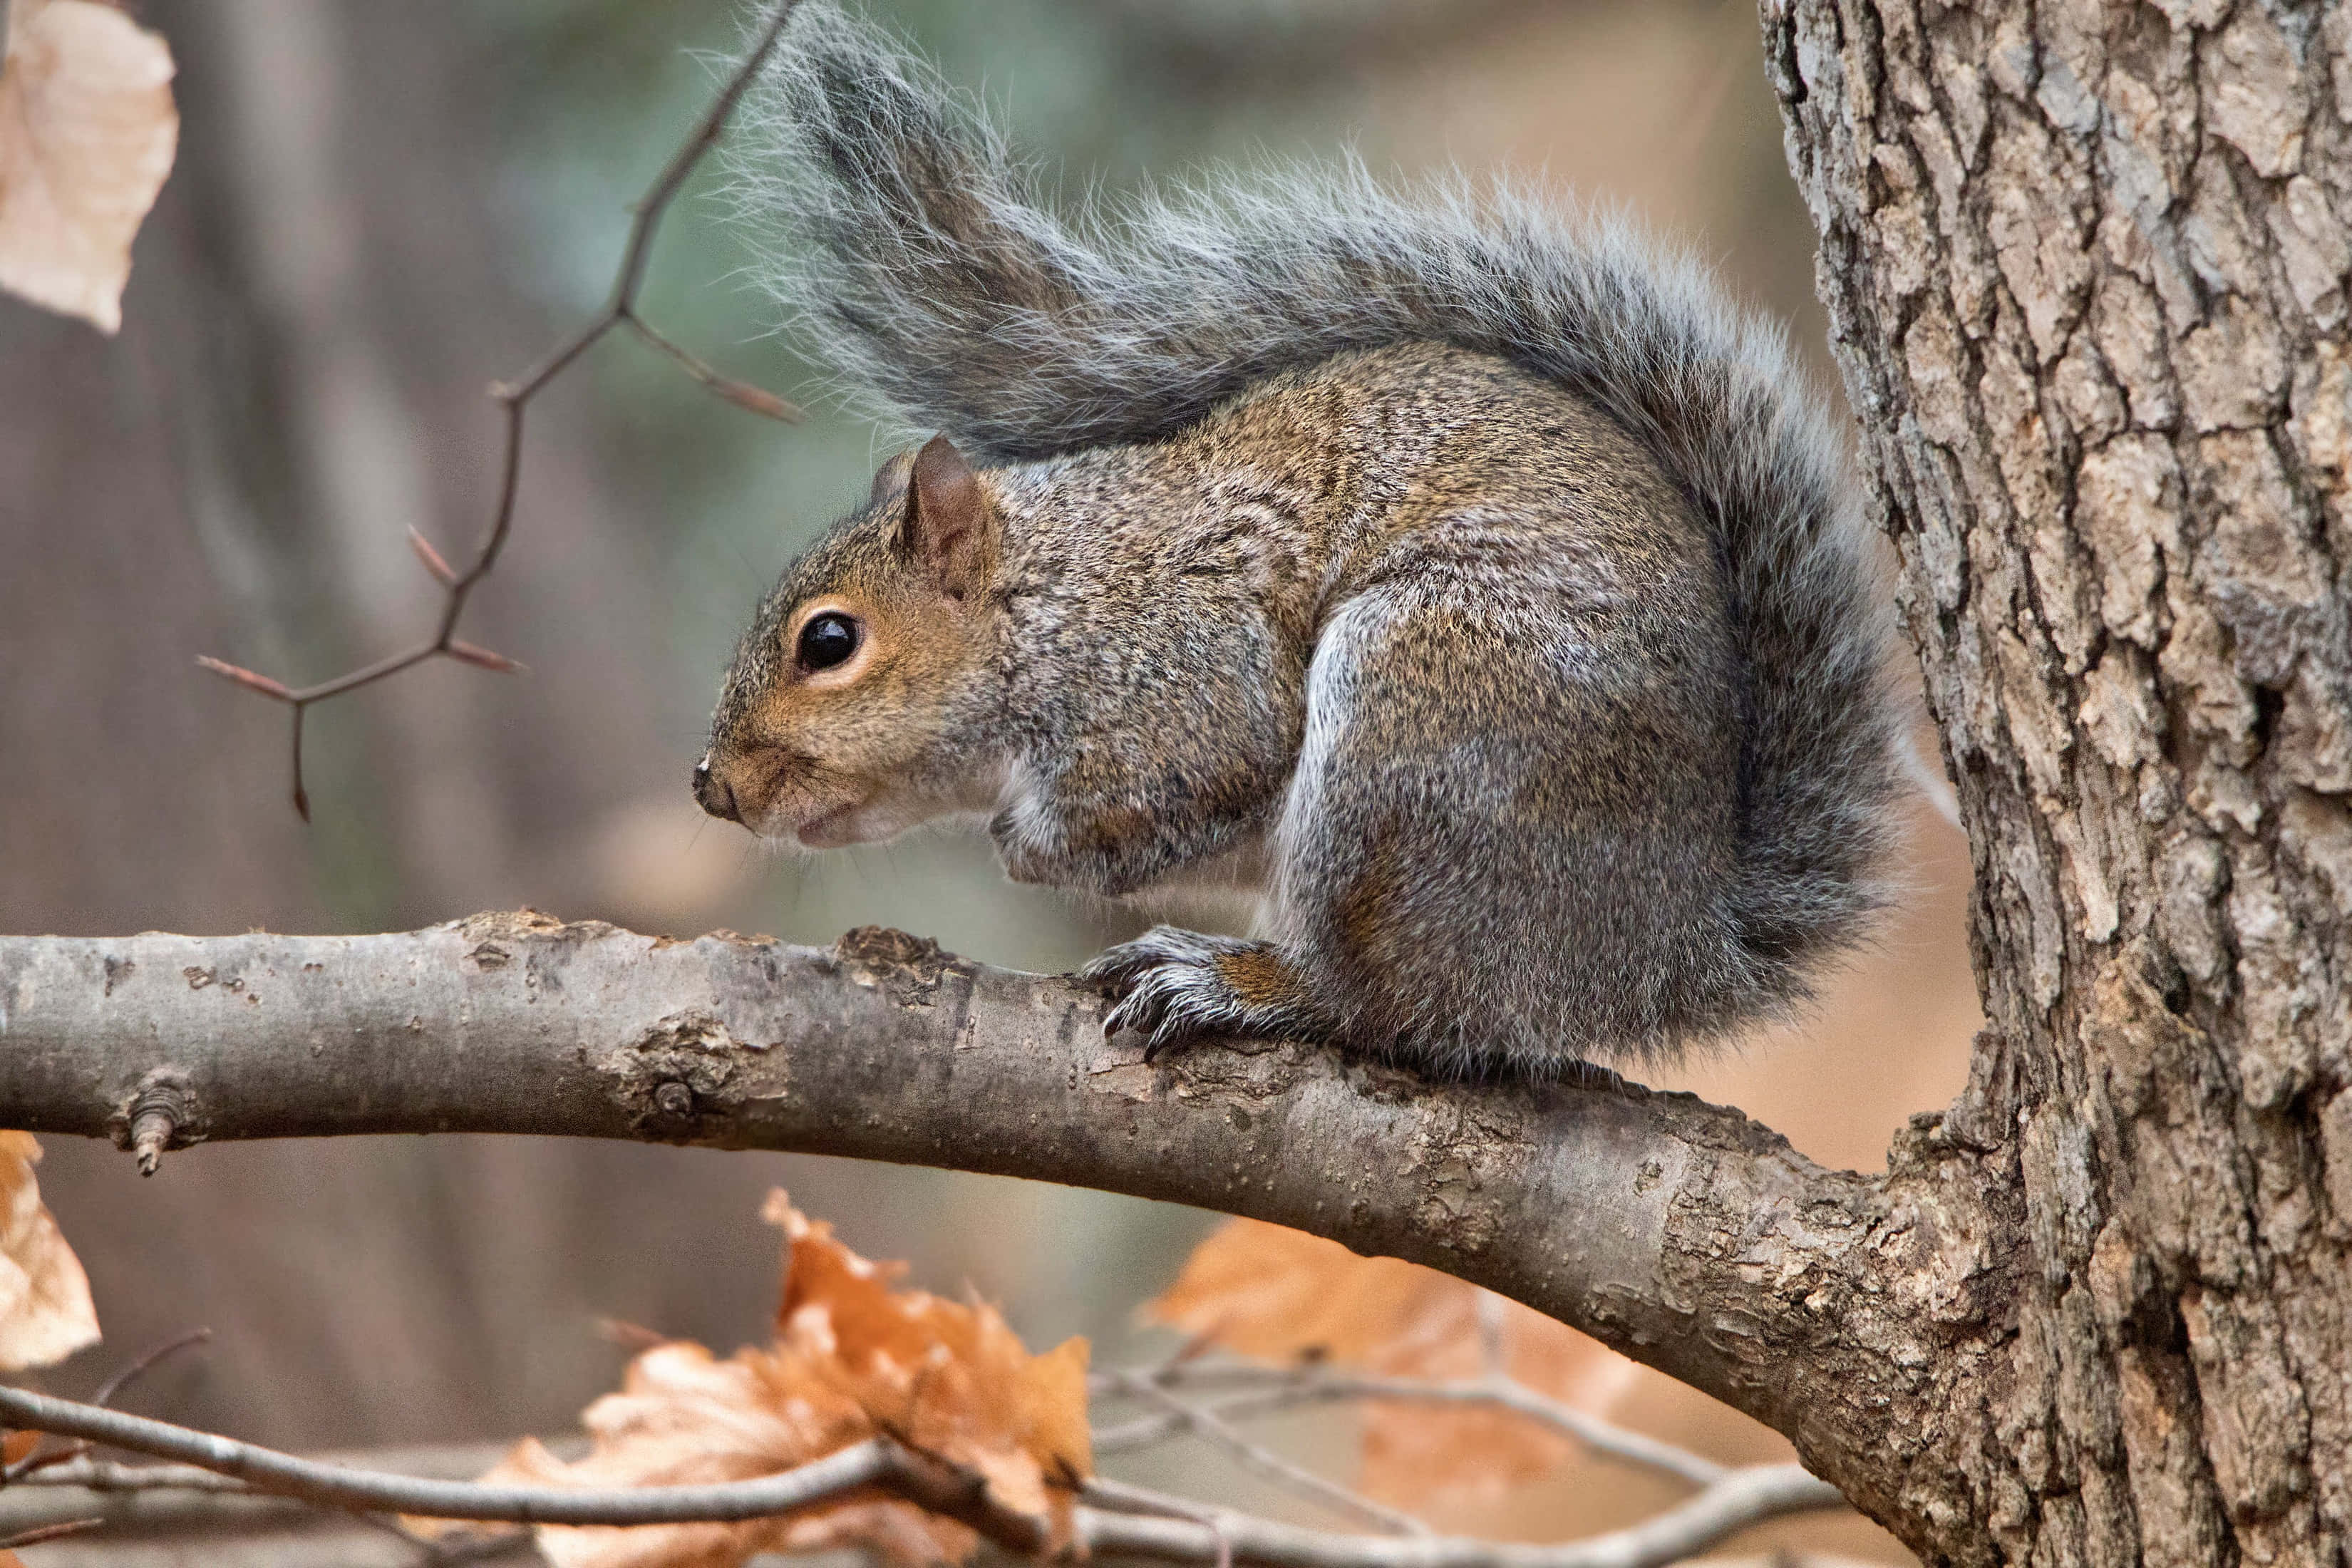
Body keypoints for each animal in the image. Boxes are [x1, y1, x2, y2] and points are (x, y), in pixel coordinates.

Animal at [692, 2, 1902, 1078]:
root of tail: (1664, 952)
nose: (712, 786)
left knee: (1391, 1006)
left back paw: (1240, 985)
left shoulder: (1183, 672)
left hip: (1418, 727)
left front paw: (1033, 845)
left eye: (830, 642)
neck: (1050, 602)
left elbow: (1211, 769)